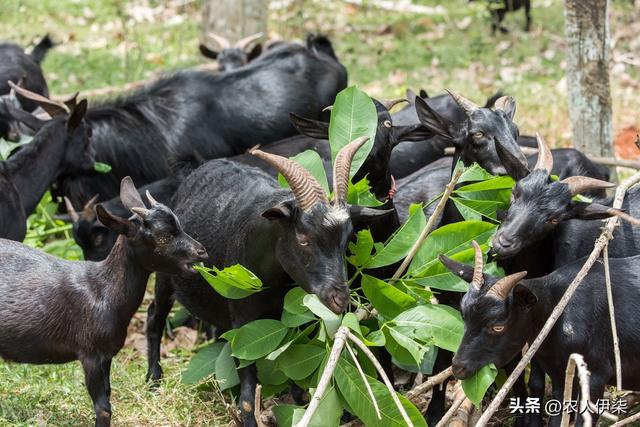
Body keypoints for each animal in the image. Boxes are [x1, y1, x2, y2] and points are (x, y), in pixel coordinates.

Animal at [0, 177, 206, 427]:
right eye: (164, 234)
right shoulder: (89, 353)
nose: (202, 251)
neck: (102, 292)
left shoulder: (107, 355)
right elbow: (103, 407)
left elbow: (108, 393)